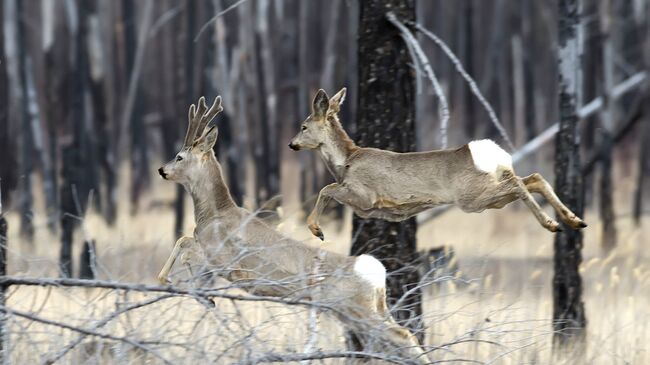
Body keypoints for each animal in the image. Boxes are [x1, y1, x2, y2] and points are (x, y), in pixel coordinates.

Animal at [157, 96, 430, 362]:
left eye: (179, 156)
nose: (161, 170)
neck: (214, 214)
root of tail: (375, 271)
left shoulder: (223, 257)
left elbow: (185, 245)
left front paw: (176, 283)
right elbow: (184, 242)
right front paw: (198, 294)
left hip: (358, 307)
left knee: (404, 336)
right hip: (363, 309)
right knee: (397, 337)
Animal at [288, 87, 584, 240]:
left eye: (303, 127)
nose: (291, 144)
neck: (345, 163)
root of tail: (492, 153)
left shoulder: (364, 196)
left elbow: (325, 189)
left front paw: (317, 230)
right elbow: (327, 189)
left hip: (472, 197)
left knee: (520, 184)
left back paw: (552, 223)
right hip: (489, 192)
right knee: (533, 178)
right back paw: (574, 220)